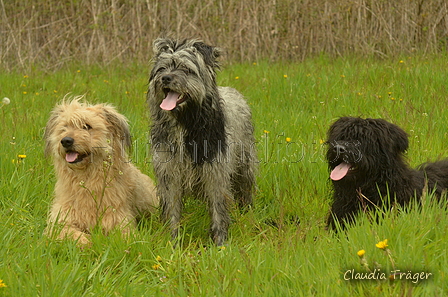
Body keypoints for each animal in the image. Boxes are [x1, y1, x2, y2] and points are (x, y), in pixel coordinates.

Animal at [44, 97, 159, 245]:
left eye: (87, 126)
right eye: (64, 127)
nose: (66, 141)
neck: (86, 179)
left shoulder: (118, 219)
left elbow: (124, 236)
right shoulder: (60, 221)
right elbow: (69, 232)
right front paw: (87, 242)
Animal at [147, 37, 258, 245]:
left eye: (186, 68)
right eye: (162, 68)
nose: (166, 78)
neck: (185, 121)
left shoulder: (216, 172)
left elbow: (217, 209)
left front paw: (220, 242)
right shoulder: (169, 173)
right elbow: (172, 210)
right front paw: (173, 241)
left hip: (245, 163)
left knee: (245, 187)